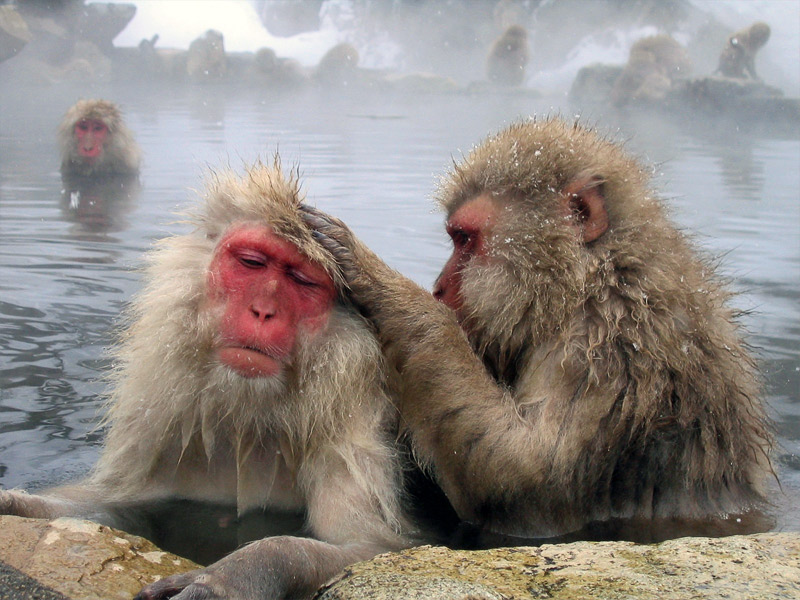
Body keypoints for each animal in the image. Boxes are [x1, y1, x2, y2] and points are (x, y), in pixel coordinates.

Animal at [4, 159, 418, 600]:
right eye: (252, 262)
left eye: (303, 281)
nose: (263, 310)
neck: (247, 419)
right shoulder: (158, 426)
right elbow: (117, 503)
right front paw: (19, 505)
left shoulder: (347, 430)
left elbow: (367, 547)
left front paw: (231, 576)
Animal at [304, 119, 772, 540]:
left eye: (464, 239)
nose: (438, 288)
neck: (590, 282)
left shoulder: (608, 349)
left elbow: (525, 480)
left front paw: (392, 291)